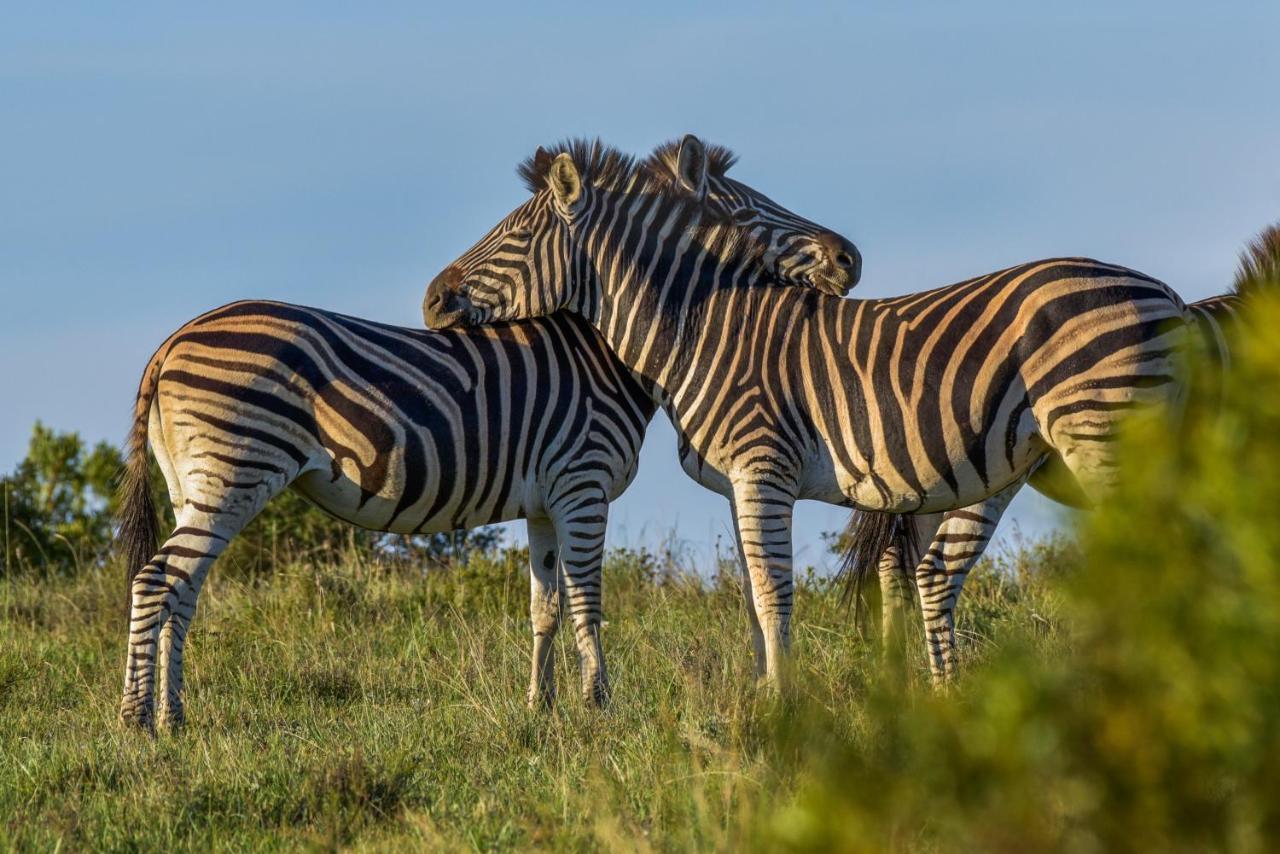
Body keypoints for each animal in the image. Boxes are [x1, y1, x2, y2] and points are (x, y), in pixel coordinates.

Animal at [424, 138, 1203, 686]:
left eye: (512, 239)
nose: (432, 299)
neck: (701, 326)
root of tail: (1165, 292)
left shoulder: (763, 469)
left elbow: (776, 595)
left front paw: (782, 709)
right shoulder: (739, 483)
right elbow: (752, 599)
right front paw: (762, 699)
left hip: (1105, 438)